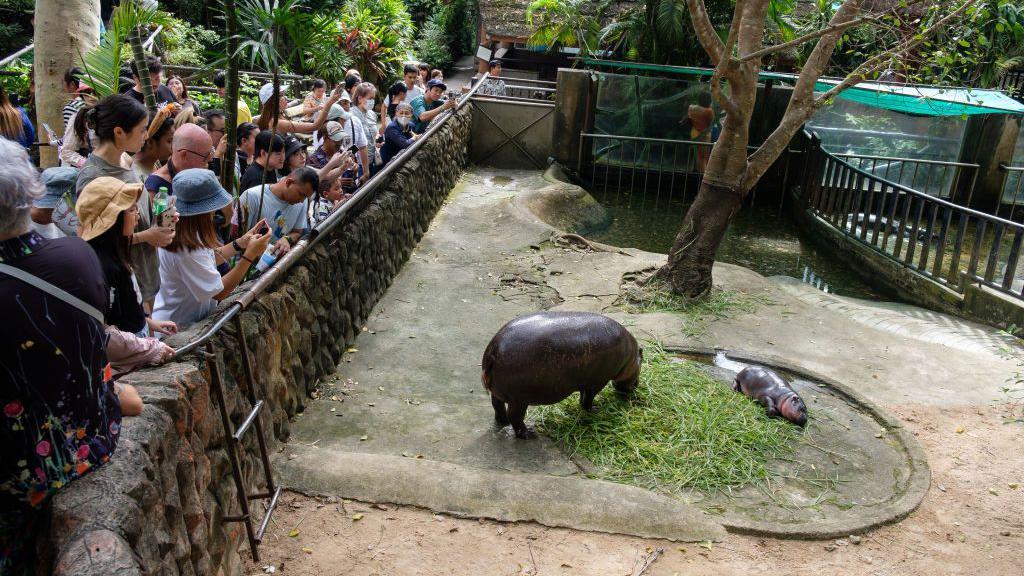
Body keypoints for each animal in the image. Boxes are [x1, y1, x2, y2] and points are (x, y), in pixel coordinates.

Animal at [479, 311, 638, 436]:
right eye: (641, 358)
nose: (635, 386)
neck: (631, 354)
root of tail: (493, 349)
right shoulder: (597, 382)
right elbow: (588, 399)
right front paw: (595, 410)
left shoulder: (585, 381)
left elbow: (583, 397)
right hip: (519, 400)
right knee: (515, 417)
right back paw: (529, 433)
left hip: (500, 393)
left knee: (497, 405)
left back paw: (503, 422)